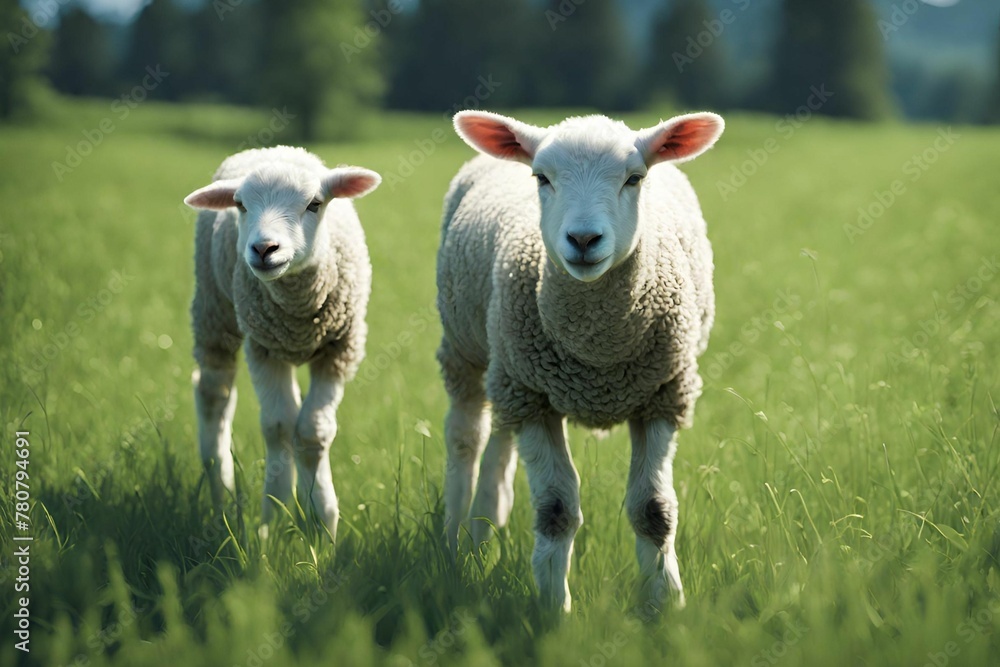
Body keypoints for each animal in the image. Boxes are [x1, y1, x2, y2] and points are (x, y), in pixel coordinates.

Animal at [183, 145, 381, 541]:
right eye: (240, 205)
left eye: (315, 204)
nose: (263, 248)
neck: (298, 310)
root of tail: (274, 148)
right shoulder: (262, 348)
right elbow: (277, 428)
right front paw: (273, 519)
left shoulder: (339, 350)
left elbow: (312, 432)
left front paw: (322, 522)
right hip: (214, 310)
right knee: (214, 394)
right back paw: (221, 492)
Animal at [437, 111, 724, 611]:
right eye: (541, 178)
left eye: (634, 178)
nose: (584, 239)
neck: (597, 351)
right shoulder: (534, 399)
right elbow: (556, 510)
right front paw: (554, 610)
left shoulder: (662, 393)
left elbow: (653, 510)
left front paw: (666, 605)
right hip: (468, 351)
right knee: (465, 438)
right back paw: (456, 538)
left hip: (507, 366)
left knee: (499, 444)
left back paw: (483, 529)